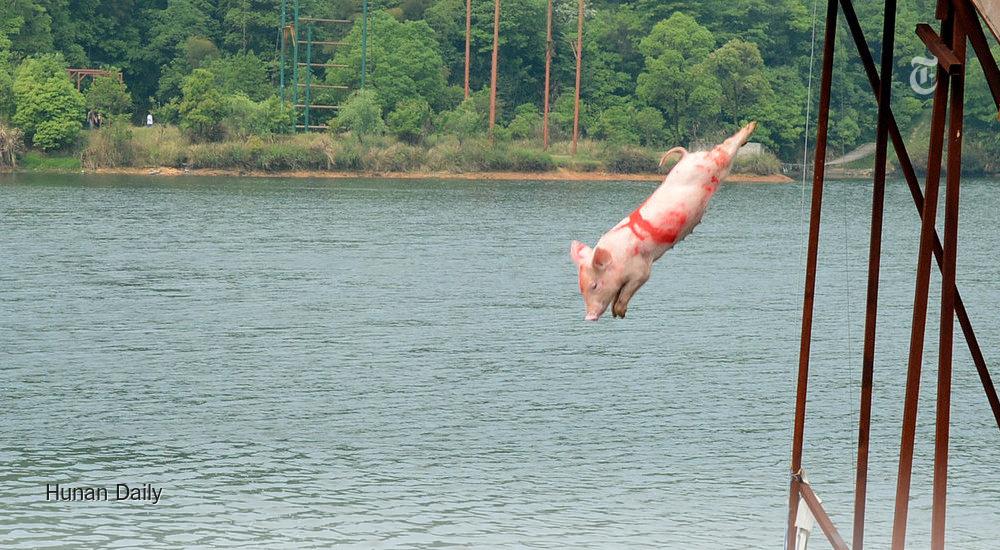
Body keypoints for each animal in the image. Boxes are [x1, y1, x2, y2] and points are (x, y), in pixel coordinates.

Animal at [570, 122, 757, 321]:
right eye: (581, 288)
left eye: (594, 285)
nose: (589, 317)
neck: (617, 256)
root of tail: (688, 156)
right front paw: (616, 314)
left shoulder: (642, 269)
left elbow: (629, 289)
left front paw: (619, 312)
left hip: (716, 162)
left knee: (725, 148)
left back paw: (751, 127)